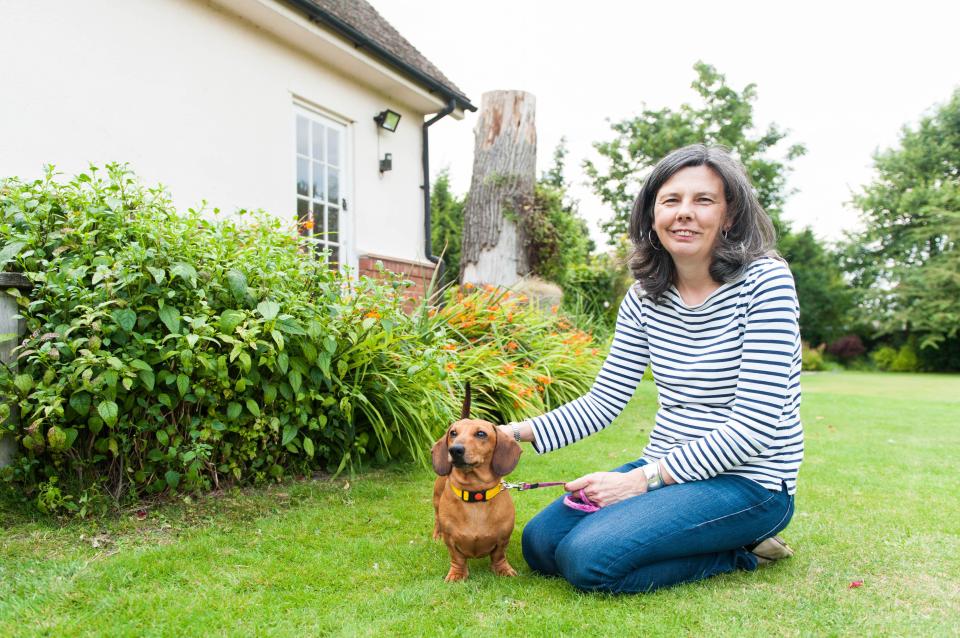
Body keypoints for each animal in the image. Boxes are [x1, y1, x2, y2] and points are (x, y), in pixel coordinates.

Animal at [434, 384, 520, 584]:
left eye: (481, 433)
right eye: (453, 433)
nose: (455, 450)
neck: (475, 493)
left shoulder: (503, 539)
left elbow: (499, 555)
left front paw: (503, 570)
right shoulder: (451, 541)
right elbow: (457, 558)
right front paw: (457, 574)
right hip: (435, 499)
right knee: (436, 518)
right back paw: (436, 534)